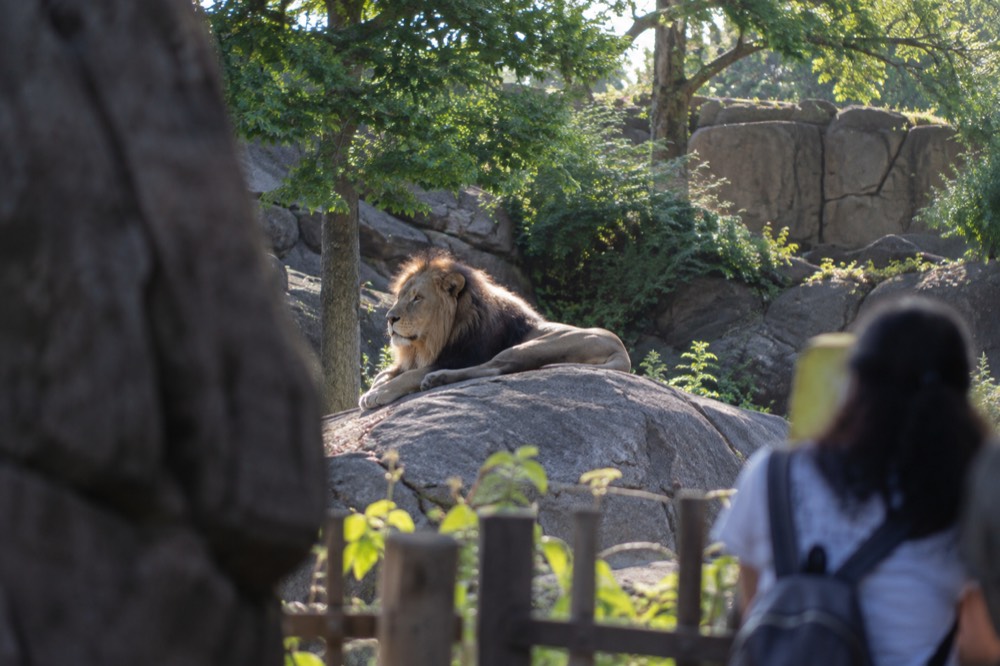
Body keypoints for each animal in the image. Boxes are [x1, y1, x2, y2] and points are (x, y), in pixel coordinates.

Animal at [358, 251, 632, 409]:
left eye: (417, 298)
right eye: (400, 296)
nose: (389, 318)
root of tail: (623, 353)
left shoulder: (462, 357)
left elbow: (409, 376)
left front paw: (376, 394)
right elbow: (385, 373)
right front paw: (376, 386)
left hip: (531, 346)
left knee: (494, 367)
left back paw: (437, 378)